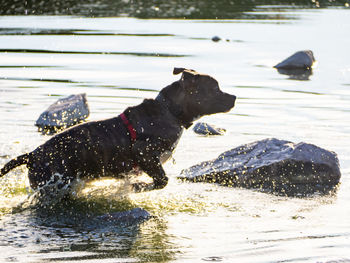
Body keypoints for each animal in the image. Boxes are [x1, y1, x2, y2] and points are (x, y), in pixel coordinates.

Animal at [0, 68, 237, 192]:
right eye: (215, 89)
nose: (234, 97)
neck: (169, 111)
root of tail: (32, 154)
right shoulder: (144, 152)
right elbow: (162, 181)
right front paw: (140, 186)